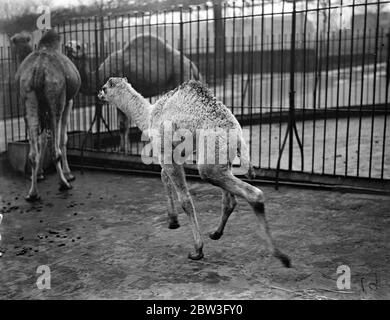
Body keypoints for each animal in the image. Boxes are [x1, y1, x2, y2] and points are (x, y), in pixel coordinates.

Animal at [99, 76, 290, 266]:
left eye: (104, 87)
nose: (99, 94)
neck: (149, 115)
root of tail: (238, 137)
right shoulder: (177, 151)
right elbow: (163, 176)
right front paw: (172, 221)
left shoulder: (165, 151)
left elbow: (185, 199)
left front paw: (197, 250)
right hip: (220, 160)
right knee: (229, 198)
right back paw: (216, 233)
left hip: (209, 162)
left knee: (252, 193)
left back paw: (282, 257)